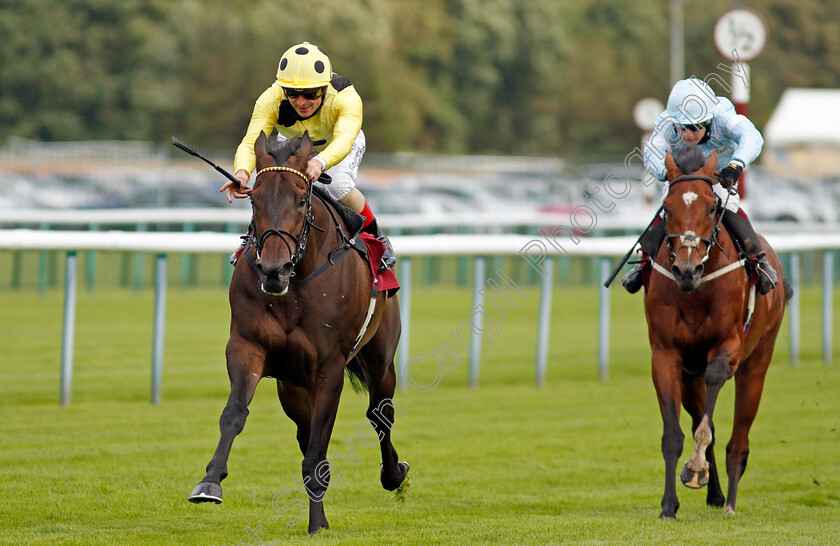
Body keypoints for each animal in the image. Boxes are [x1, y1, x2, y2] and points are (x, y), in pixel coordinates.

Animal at [194, 130, 410, 528]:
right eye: (254, 200)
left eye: (300, 199)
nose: (273, 271)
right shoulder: (247, 347)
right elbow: (234, 414)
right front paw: (209, 482)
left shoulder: (329, 368)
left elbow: (319, 447)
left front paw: (316, 525)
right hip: (291, 386)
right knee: (305, 430)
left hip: (380, 359)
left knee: (380, 414)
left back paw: (394, 474)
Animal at [644, 144, 788, 520]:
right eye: (667, 208)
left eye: (712, 206)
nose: (687, 269)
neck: (695, 291)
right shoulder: (667, 354)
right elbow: (674, 434)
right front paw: (669, 504)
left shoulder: (728, 346)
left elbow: (710, 410)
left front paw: (695, 466)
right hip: (689, 376)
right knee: (701, 416)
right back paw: (716, 493)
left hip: (757, 363)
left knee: (738, 440)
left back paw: (731, 503)